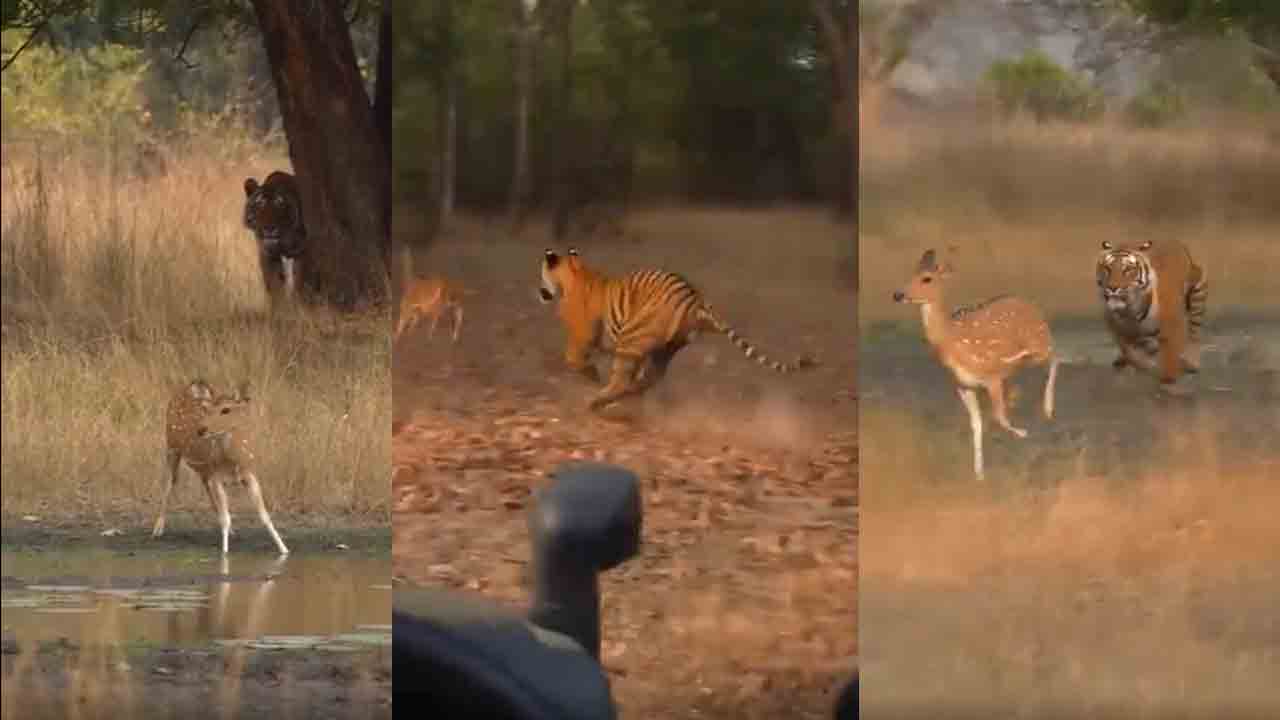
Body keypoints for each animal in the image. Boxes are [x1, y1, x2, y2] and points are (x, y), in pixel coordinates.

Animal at [243, 171, 306, 304]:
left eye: (280, 203)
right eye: (259, 203)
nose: (269, 228)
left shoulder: (302, 251)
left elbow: (299, 281)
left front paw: (299, 305)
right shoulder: (267, 255)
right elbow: (274, 286)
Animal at [538, 247, 817, 412]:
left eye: (541, 274)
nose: (540, 292)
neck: (573, 276)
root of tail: (697, 300)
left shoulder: (582, 334)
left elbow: (572, 357)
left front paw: (591, 375)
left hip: (632, 338)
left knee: (624, 379)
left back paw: (597, 402)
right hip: (662, 347)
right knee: (648, 378)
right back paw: (626, 402)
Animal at [893, 249, 1060, 479]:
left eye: (927, 278)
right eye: (911, 274)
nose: (898, 295)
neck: (956, 346)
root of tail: (1032, 306)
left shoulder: (992, 376)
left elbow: (999, 416)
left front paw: (1023, 433)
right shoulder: (964, 385)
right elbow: (976, 425)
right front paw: (979, 474)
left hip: (1040, 345)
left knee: (1056, 358)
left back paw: (1048, 409)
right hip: (1024, 361)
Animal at [1096, 238, 1208, 389]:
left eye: (1128, 270)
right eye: (1107, 268)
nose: (1112, 288)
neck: (1131, 309)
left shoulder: (1172, 326)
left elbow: (1170, 355)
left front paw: (1168, 380)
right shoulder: (1117, 329)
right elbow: (1131, 353)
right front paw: (1147, 366)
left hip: (1198, 293)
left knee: (1194, 334)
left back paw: (1191, 363)